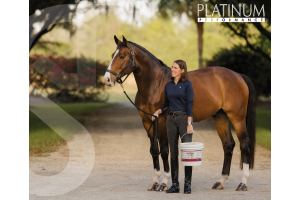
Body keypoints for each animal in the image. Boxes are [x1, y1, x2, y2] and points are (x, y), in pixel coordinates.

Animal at [102, 35, 255, 191]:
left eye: (122, 56)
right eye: (112, 55)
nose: (107, 79)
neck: (155, 84)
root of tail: (238, 75)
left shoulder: (162, 121)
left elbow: (164, 150)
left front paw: (164, 182)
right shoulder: (148, 122)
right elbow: (154, 150)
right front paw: (155, 181)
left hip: (237, 118)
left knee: (245, 145)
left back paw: (243, 183)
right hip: (221, 117)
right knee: (228, 145)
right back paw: (220, 181)